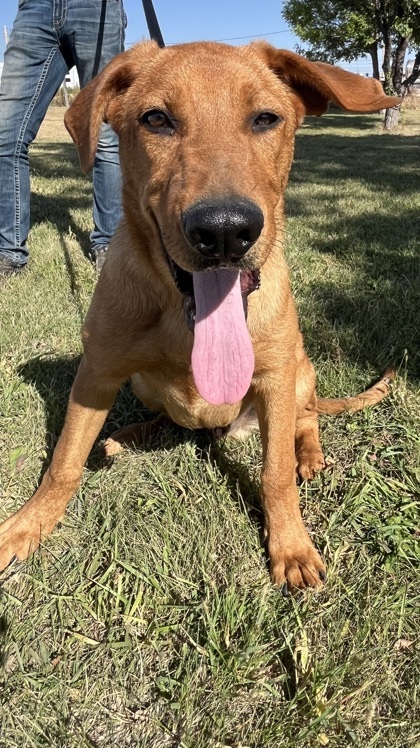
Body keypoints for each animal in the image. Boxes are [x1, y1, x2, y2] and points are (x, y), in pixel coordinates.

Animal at [0, 41, 398, 592]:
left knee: (307, 418)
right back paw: (127, 436)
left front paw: (291, 548)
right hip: (142, 383)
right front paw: (26, 526)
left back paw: (310, 454)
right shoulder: (96, 372)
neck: (184, 318)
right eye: (156, 119)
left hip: (301, 373)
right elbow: (63, 462)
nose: (225, 231)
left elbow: (275, 476)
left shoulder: (276, 378)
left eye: (266, 118)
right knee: (168, 419)